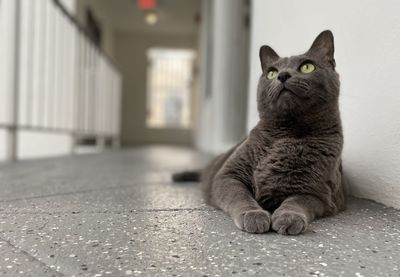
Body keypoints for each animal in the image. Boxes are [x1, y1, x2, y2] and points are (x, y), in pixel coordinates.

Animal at [173, 30, 346, 235]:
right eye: (271, 72)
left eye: (307, 67)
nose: (283, 75)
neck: (285, 135)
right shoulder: (228, 175)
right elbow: (240, 196)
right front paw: (254, 215)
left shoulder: (317, 192)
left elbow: (297, 202)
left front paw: (288, 217)